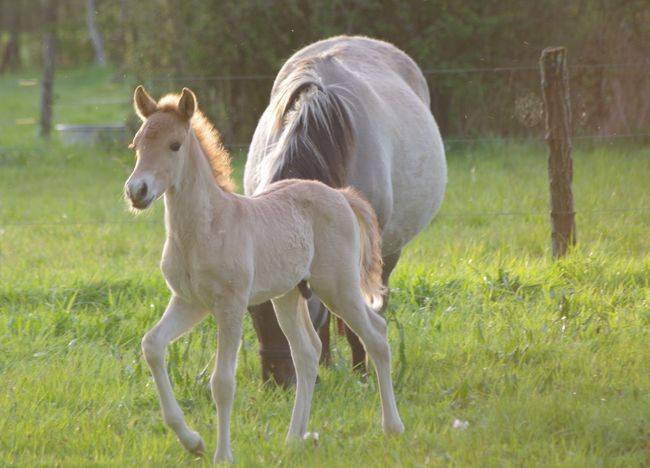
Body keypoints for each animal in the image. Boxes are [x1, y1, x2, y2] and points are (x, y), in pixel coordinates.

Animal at [124, 86, 404, 463]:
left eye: (175, 145)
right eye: (136, 145)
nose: (136, 191)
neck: (206, 228)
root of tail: (340, 196)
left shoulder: (230, 304)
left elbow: (222, 382)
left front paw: (222, 456)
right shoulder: (189, 302)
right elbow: (152, 345)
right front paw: (192, 441)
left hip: (338, 287)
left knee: (376, 334)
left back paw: (392, 427)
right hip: (288, 295)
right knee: (307, 353)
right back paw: (294, 437)